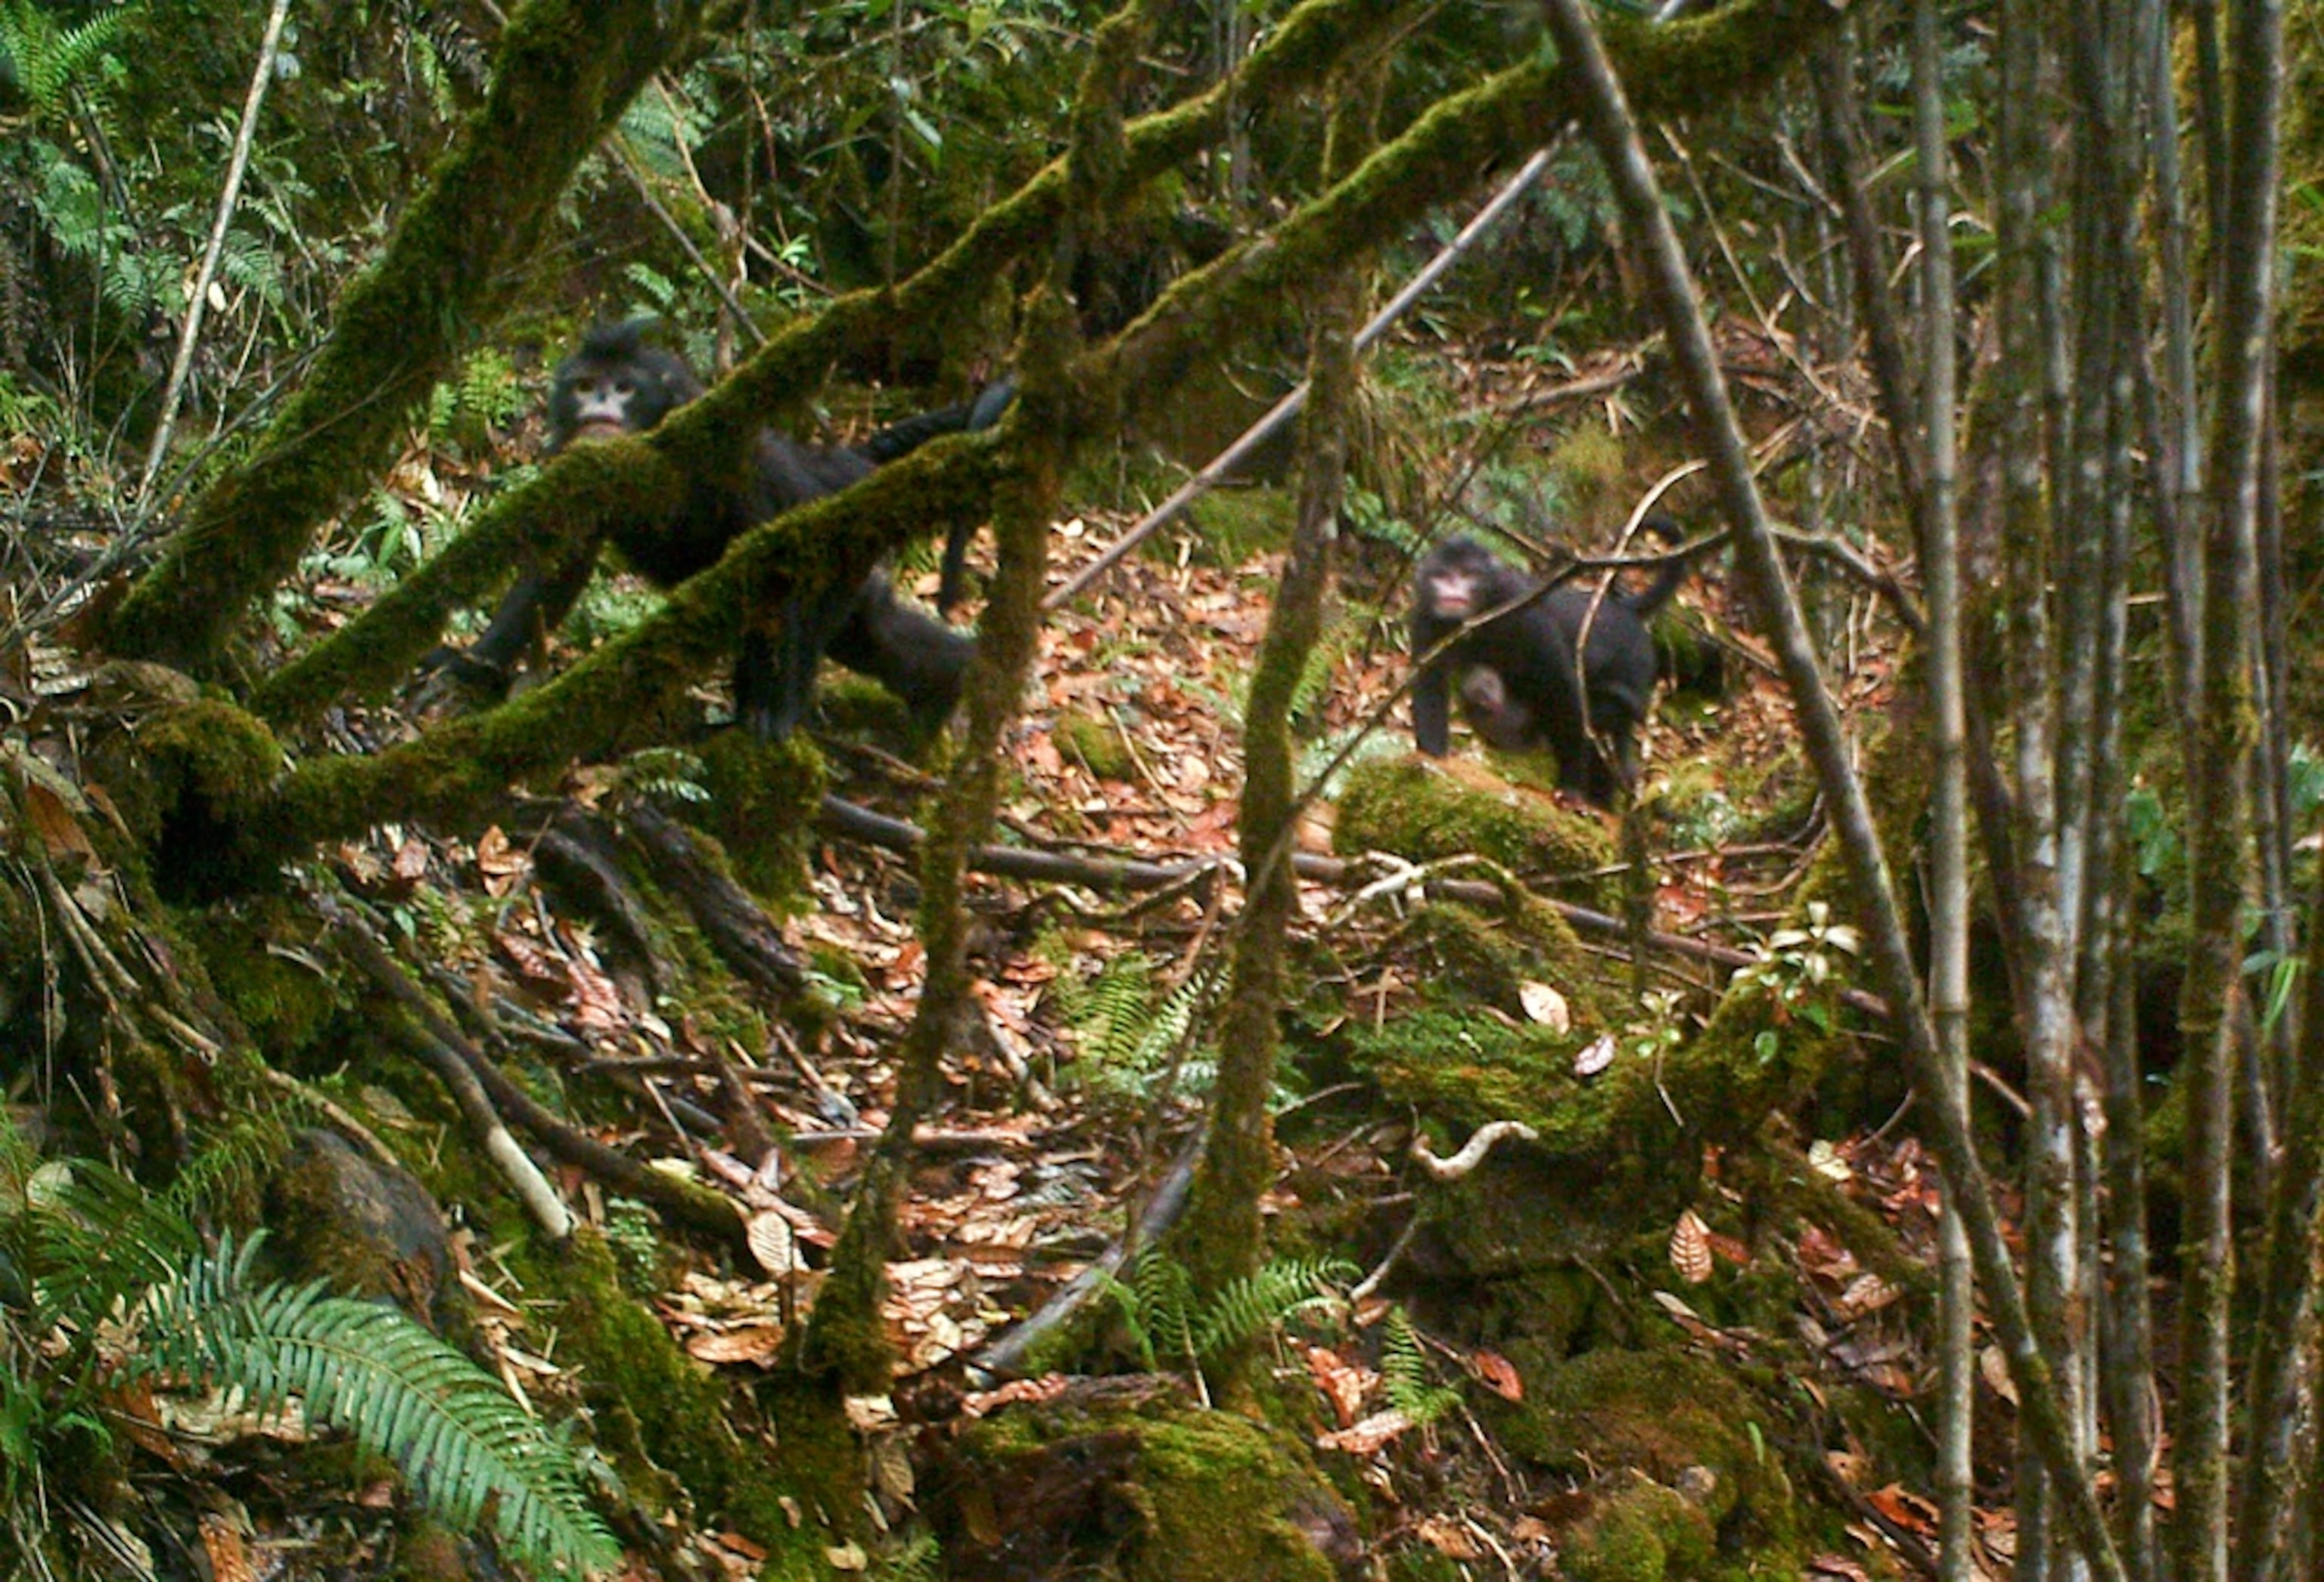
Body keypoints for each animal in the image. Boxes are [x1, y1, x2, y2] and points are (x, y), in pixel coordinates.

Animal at [426, 319, 1007, 737]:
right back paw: (950, 687)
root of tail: (848, 467)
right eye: (586, 386)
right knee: (874, 633)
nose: (599, 409)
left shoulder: (724, 452)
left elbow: (776, 558)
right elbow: (556, 571)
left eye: (623, 388)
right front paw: (471, 666)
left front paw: (774, 713)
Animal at [1409, 517, 1691, 806]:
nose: (1452, 590)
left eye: (1467, 575)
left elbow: (1561, 687)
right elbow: (1429, 683)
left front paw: (1571, 788)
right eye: (1442, 576)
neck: (1481, 611)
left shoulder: (1522, 611)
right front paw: (1432, 757)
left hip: (1636, 664)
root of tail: (1623, 611)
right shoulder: (1424, 617)